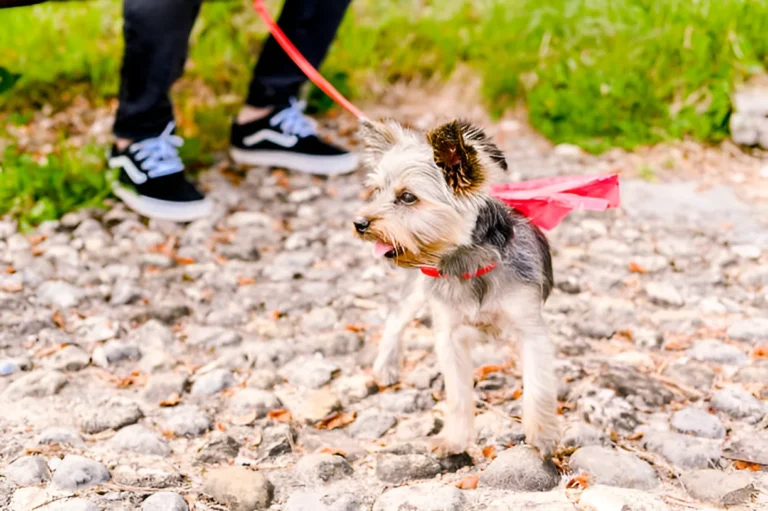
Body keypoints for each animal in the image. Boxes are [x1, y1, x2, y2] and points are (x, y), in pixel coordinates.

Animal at [354, 119, 560, 456]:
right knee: (397, 318)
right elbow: (459, 394)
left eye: (408, 197)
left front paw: (542, 437)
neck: (468, 263)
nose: (359, 223)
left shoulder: (530, 328)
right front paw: (455, 439)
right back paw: (386, 365)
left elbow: (539, 387)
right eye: (376, 191)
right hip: (418, 288)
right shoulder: (448, 335)